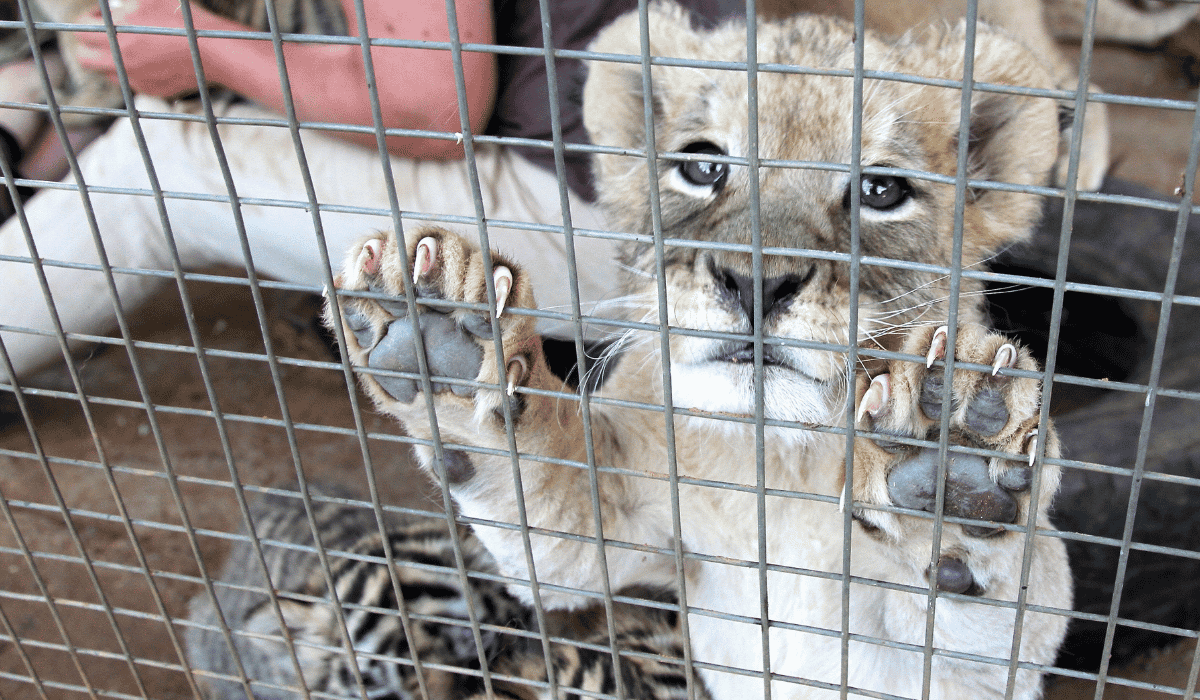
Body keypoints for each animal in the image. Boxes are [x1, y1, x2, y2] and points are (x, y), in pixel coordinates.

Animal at [324, 3, 1072, 699]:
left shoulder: (974, 674)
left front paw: (955, 468)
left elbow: (1008, 612)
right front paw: (436, 323)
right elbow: (542, 490)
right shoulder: (614, 530)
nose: (756, 281)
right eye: (703, 166)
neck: (776, 460)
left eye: (881, 190)